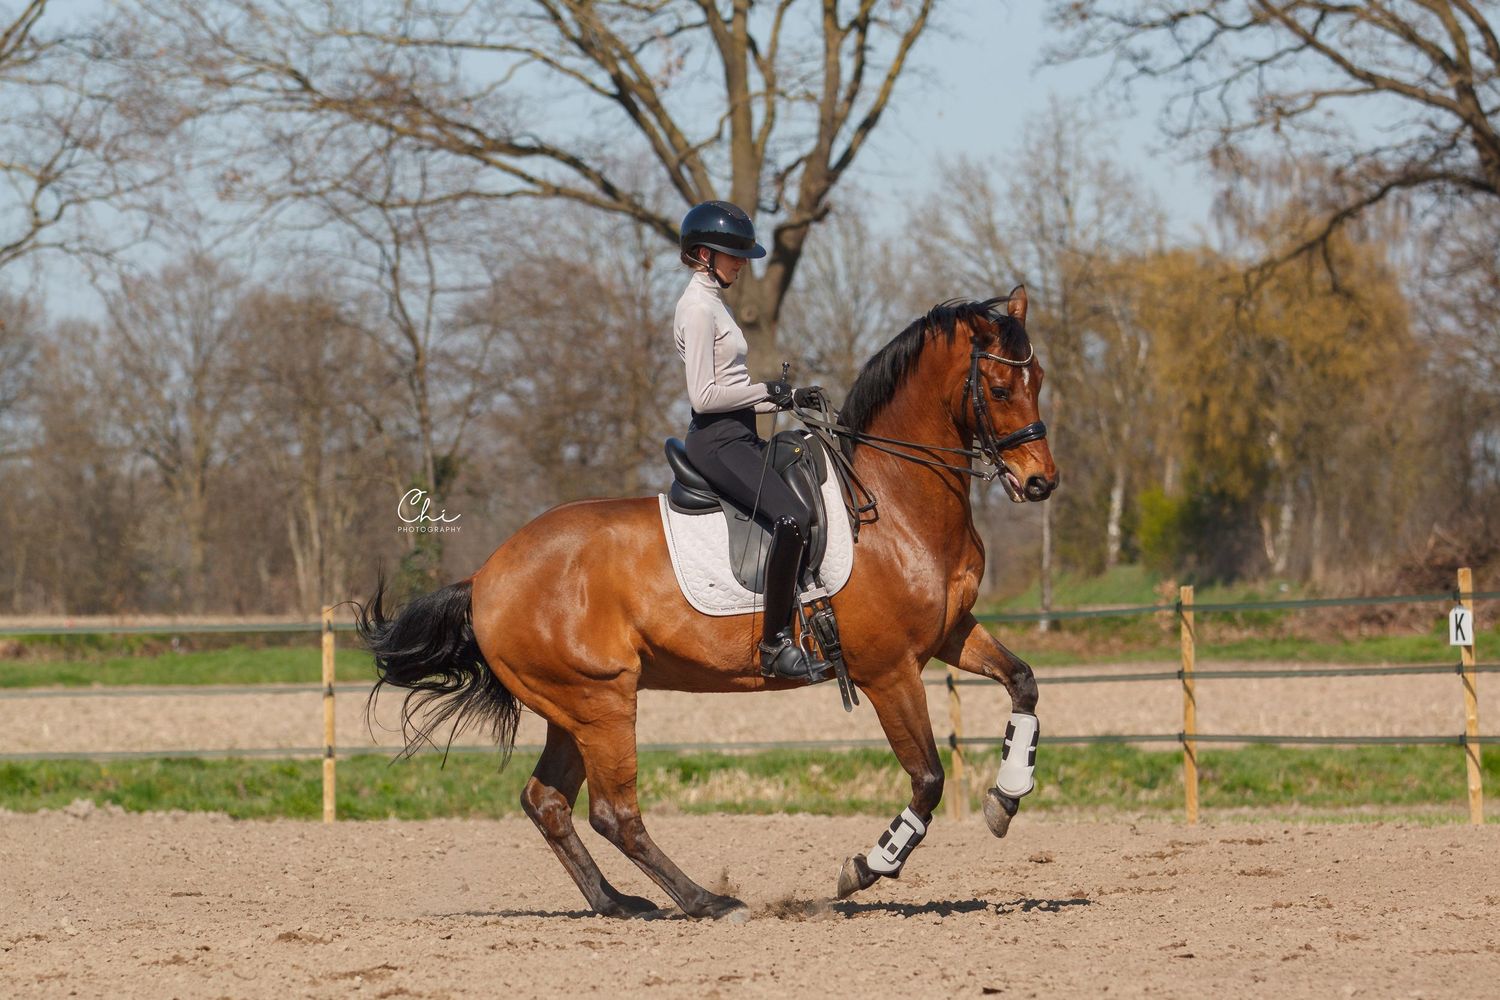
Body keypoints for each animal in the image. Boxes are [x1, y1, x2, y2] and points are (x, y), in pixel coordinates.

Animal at [357, 286, 1057, 920]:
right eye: (999, 389)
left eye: (1039, 380)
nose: (1039, 482)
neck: (894, 502)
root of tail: (484, 577)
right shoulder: (889, 670)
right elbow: (929, 778)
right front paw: (866, 866)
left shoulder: (949, 634)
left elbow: (1024, 683)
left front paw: (1007, 797)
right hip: (603, 703)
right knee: (615, 814)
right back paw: (707, 901)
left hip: (573, 709)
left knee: (547, 802)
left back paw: (619, 904)